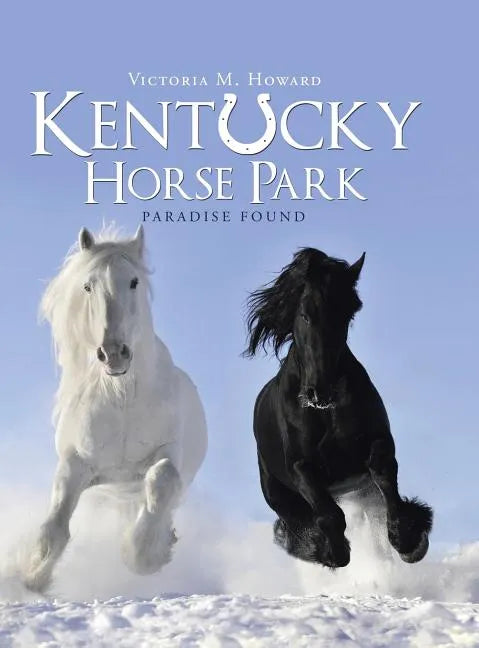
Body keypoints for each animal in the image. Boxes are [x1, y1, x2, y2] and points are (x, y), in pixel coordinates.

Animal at [23, 225, 207, 592]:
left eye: (134, 281)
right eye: (87, 285)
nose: (113, 354)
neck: (122, 398)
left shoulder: (168, 452)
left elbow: (162, 479)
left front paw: (145, 556)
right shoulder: (76, 464)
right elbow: (55, 526)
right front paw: (33, 577)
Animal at [244, 247, 433, 569]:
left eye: (347, 314)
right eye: (305, 314)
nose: (321, 390)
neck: (324, 412)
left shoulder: (377, 442)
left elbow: (385, 476)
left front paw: (409, 541)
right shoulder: (301, 467)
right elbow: (328, 514)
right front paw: (332, 552)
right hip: (278, 493)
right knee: (294, 522)